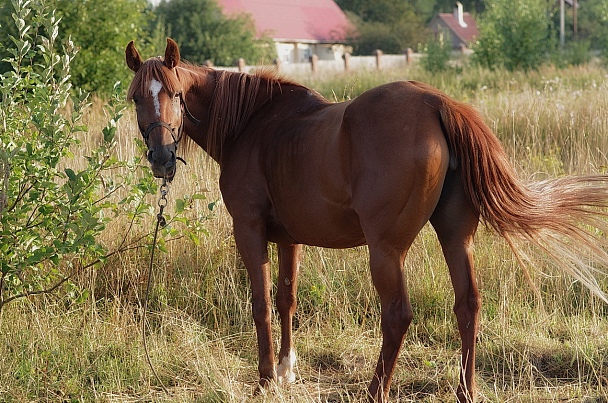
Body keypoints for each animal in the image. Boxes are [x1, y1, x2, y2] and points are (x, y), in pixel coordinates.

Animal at [126, 37, 608, 400]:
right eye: (135, 98)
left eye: (175, 94)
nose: (161, 158)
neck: (254, 125)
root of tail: (437, 103)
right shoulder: (289, 238)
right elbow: (286, 300)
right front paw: (286, 369)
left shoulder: (249, 230)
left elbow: (261, 303)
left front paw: (265, 381)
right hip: (456, 236)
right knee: (468, 304)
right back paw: (464, 390)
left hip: (386, 250)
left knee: (397, 316)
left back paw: (376, 390)